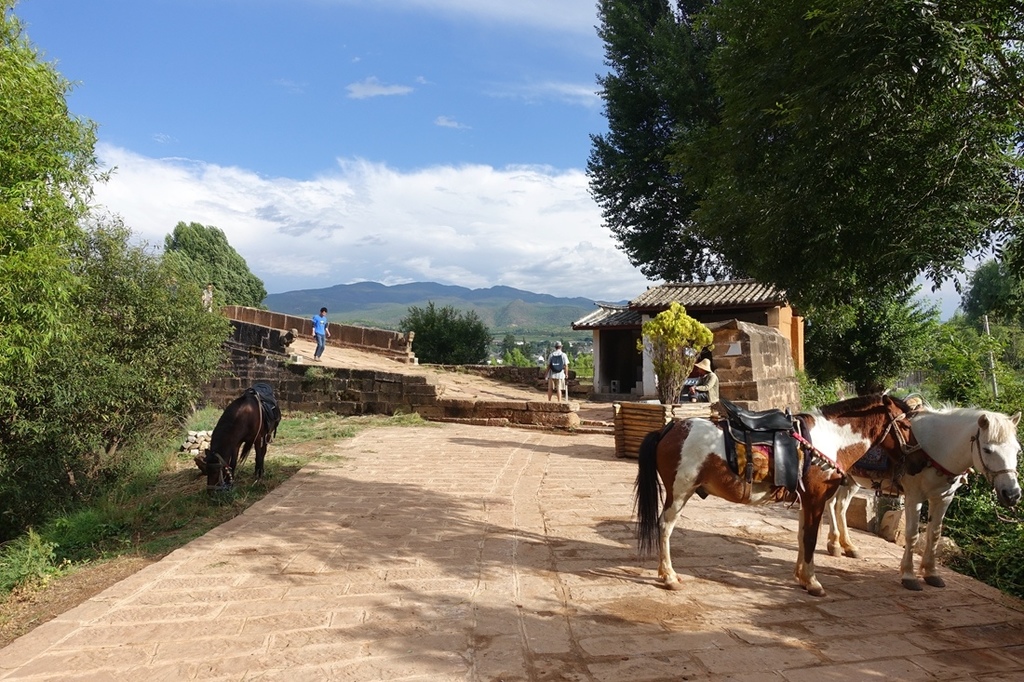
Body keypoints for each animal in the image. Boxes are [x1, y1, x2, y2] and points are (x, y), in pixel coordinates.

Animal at [634, 393, 917, 593]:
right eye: (905, 424)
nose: (918, 458)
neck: (830, 440)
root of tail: (668, 429)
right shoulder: (815, 499)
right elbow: (810, 539)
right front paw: (812, 582)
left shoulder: (806, 501)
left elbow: (803, 537)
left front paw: (801, 577)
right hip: (680, 492)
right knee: (665, 527)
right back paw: (669, 576)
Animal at [827, 403, 1019, 589]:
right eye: (987, 450)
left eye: (1017, 450)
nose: (1012, 494)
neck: (936, 448)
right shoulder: (914, 497)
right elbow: (912, 534)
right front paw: (908, 575)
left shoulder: (943, 498)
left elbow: (934, 534)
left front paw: (931, 573)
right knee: (830, 504)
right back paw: (834, 544)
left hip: (851, 480)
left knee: (841, 506)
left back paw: (848, 546)